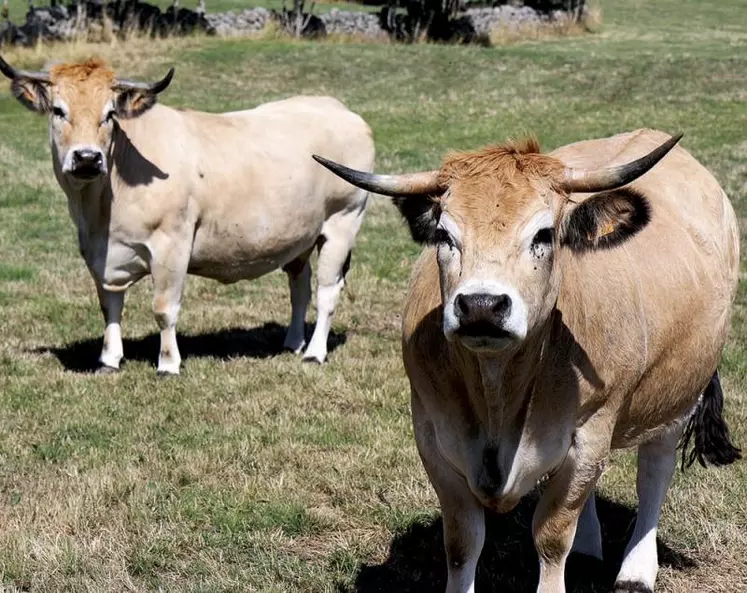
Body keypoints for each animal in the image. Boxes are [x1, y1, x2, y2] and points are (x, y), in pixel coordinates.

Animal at [0, 57, 374, 376]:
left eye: (109, 114)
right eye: (58, 111)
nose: (88, 158)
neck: (100, 208)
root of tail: (338, 108)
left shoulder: (172, 243)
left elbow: (164, 309)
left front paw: (168, 364)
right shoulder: (99, 253)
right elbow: (109, 305)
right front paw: (109, 360)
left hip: (343, 221)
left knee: (327, 291)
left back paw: (314, 352)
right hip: (299, 235)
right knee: (300, 286)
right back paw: (293, 343)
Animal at [314, 130, 744, 592]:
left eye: (543, 235)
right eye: (445, 235)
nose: (481, 305)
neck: (497, 395)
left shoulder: (590, 432)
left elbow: (552, 537)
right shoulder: (432, 434)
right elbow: (462, 541)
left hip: (679, 393)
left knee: (655, 470)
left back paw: (636, 570)